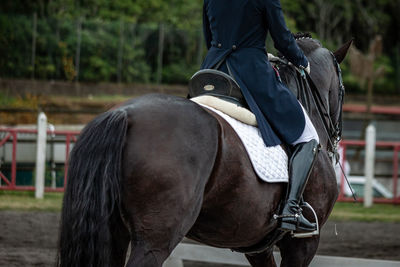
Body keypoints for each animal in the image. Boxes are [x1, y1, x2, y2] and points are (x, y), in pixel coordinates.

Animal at [56, 38, 350, 267]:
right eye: (343, 90)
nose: (336, 141)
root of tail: (123, 114)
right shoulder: (302, 243)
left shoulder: (257, 245)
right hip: (155, 238)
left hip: (115, 231)